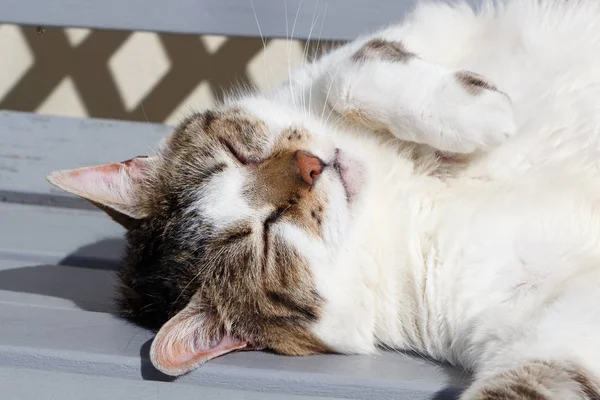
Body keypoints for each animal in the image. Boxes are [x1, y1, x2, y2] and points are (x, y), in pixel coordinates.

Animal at [43, 0, 600, 396]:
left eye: (237, 153)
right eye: (265, 237)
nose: (310, 167)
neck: (394, 200)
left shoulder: (402, 38)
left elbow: (346, 73)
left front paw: (482, 115)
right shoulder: (547, 332)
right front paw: (492, 118)